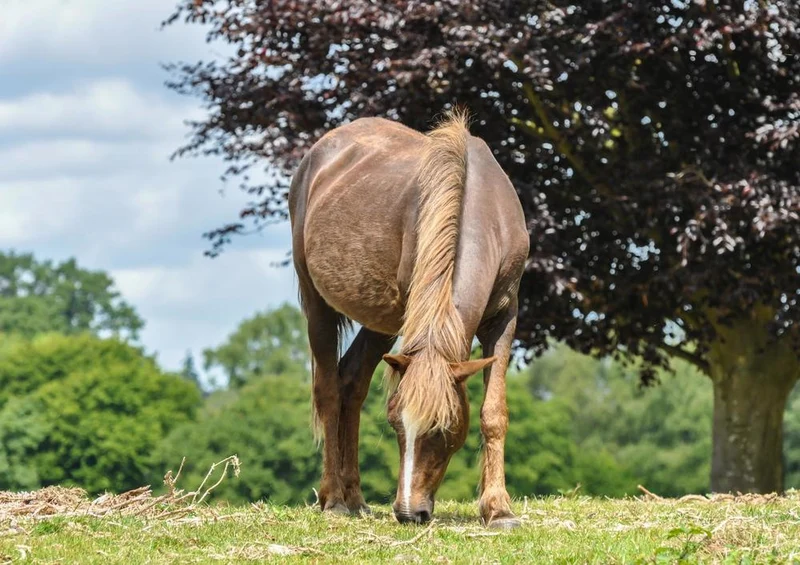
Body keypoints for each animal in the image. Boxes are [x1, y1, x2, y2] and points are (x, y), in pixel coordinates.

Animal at [288, 110, 529, 528]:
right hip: (318, 304)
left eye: (443, 428)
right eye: (395, 425)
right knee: (329, 390)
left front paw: (498, 509)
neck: (482, 209)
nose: (407, 512)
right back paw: (334, 499)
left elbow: (493, 412)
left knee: (352, 382)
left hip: (380, 323)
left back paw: (355, 498)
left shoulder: (504, 318)